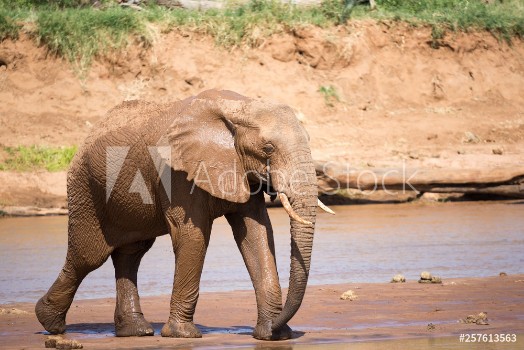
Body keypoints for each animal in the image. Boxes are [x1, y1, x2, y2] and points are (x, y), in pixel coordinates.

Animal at [35, 89, 332, 340]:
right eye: (268, 148)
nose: (274, 328)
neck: (240, 105)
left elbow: (257, 236)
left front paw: (273, 335)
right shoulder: (177, 171)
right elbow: (193, 237)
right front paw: (183, 334)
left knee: (131, 254)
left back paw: (135, 331)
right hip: (85, 189)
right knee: (87, 257)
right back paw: (49, 322)